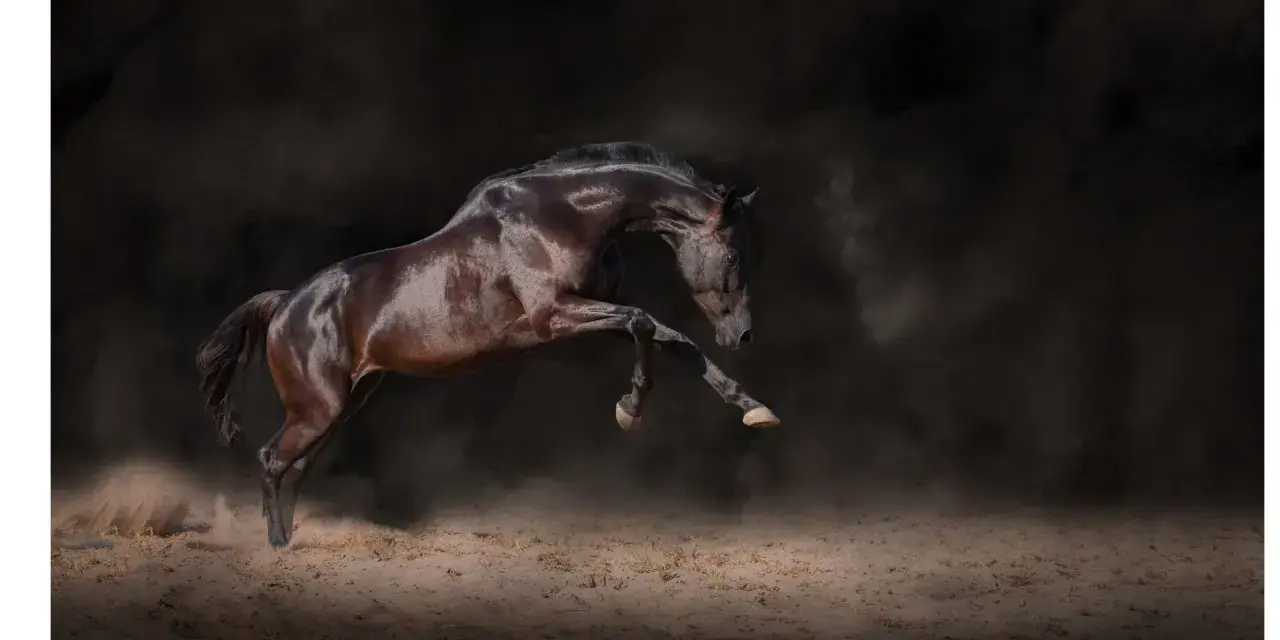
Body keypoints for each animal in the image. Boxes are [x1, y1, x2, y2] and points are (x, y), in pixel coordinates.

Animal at [196, 141, 781, 548]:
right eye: (733, 255)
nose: (743, 334)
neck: (566, 214)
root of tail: (285, 303)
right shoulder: (551, 316)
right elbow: (642, 324)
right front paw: (630, 410)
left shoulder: (588, 310)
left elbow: (673, 339)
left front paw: (754, 409)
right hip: (317, 408)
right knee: (271, 460)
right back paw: (276, 547)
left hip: (343, 405)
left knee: (294, 470)